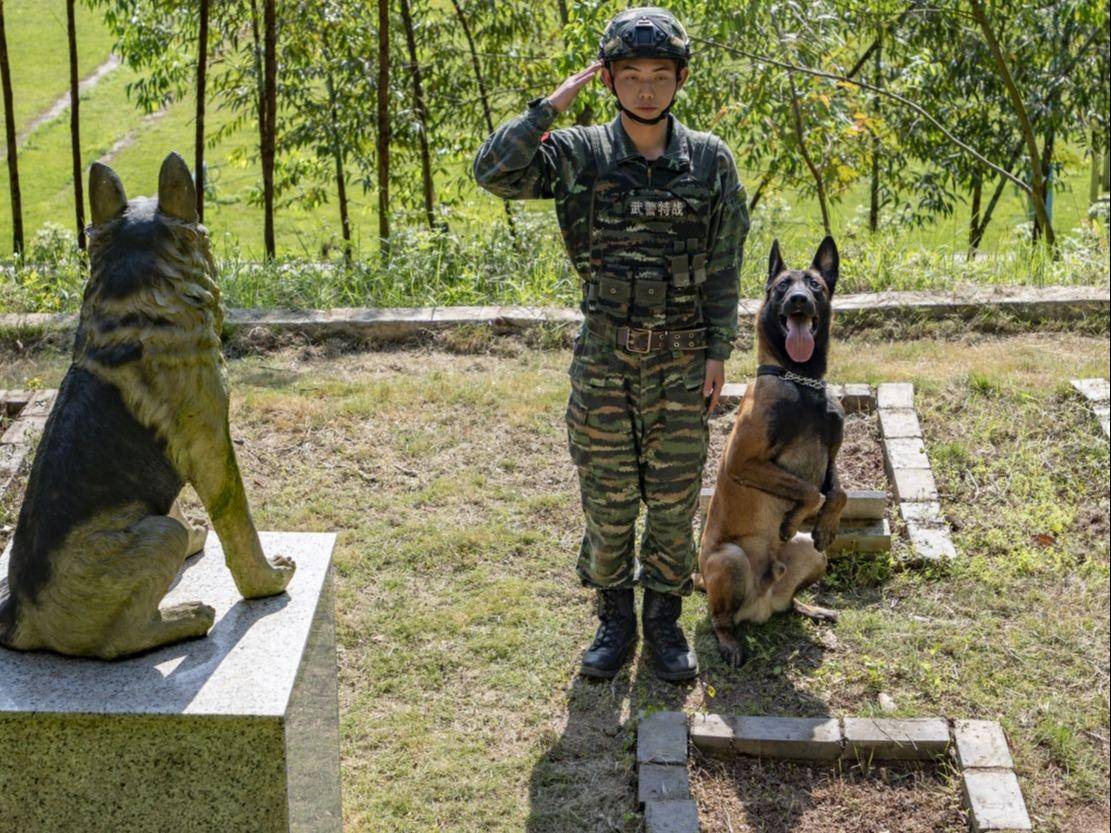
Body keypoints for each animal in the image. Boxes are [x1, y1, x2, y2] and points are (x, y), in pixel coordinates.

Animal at [0, 152, 295, 657]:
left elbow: (175, 503)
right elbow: (239, 527)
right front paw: (268, 581)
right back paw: (185, 618)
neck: (134, 308)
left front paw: (198, 535)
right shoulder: (211, 446)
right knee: (119, 641)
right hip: (156, 540)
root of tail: (19, 618)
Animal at [697, 237, 844, 670]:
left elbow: (838, 492)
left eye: (814, 285)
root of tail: (761, 603)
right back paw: (729, 642)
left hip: (814, 557)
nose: (798, 300)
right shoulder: (743, 461)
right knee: (720, 619)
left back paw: (810, 609)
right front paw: (794, 516)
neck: (801, 379)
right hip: (730, 559)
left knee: (790, 600)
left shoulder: (831, 458)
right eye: (781, 287)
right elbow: (809, 490)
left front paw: (827, 524)